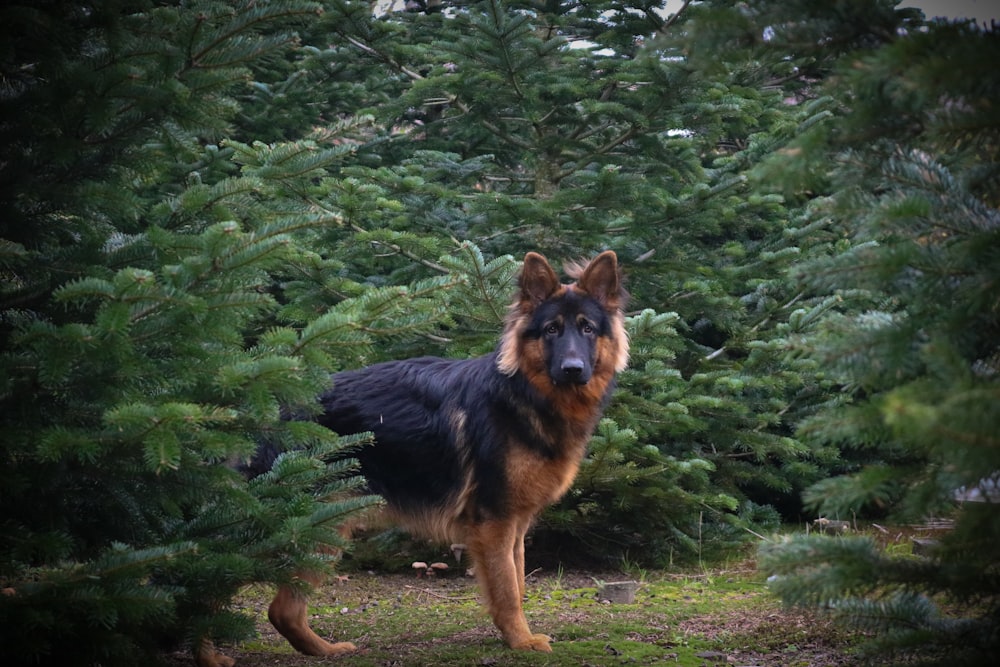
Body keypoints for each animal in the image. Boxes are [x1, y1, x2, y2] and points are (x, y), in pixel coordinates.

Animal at [229, 249, 624, 664]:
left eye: (587, 329)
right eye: (551, 330)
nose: (572, 369)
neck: (524, 394)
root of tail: (264, 411)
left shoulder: (514, 524)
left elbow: (516, 580)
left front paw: (514, 637)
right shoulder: (494, 523)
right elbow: (507, 590)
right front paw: (520, 640)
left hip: (322, 531)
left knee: (282, 610)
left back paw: (323, 649)